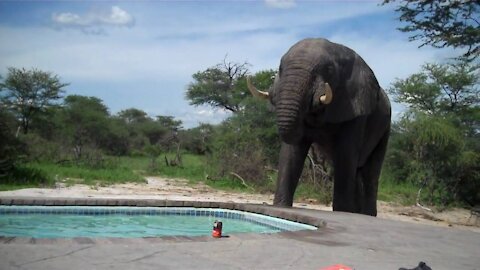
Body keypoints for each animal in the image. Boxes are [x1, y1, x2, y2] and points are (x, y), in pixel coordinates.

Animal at [248, 38, 390, 216]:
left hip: (385, 128)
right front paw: (281, 207)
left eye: (328, 69)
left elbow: (346, 153)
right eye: (280, 68)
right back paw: (356, 212)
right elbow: (291, 152)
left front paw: (342, 212)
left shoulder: (357, 108)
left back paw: (365, 215)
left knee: (370, 173)